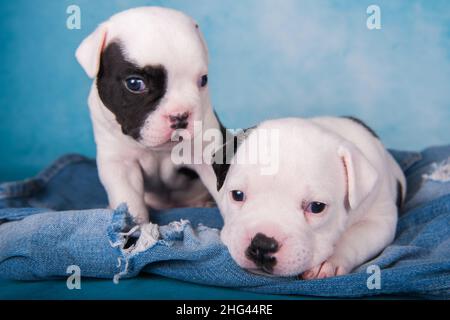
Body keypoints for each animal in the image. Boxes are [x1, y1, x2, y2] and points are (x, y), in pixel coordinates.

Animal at [76, 6, 219, 240]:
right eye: (135, 84)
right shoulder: (121, 165)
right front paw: (135, 231)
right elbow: (129, 200)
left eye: (203, 80)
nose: (180, 115)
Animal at [204, 117, 408, 278]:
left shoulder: (380, 221)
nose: (263, 244)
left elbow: (355, 237)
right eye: (237, 195)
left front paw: (330, 261)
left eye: (316, 207)